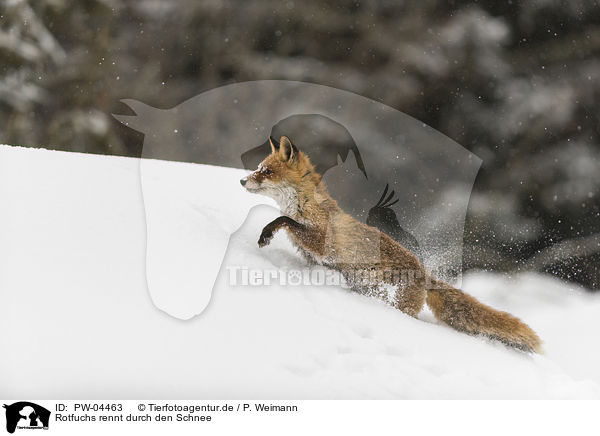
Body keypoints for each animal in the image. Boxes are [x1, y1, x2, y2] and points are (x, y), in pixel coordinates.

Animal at [240, 135, 544, 352]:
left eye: (266, 171)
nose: (242, 180)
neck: (306, 204)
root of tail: (424, 272)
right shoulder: (312, 255)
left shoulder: (321, 241)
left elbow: (283, 220)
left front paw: (266, 233)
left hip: (397, 303)